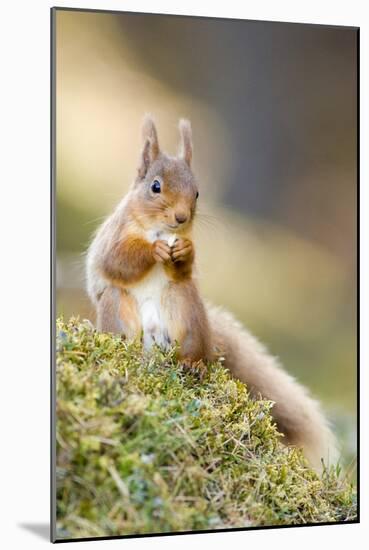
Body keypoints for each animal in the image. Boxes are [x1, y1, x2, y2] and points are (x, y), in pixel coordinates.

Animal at [85, 115, 336, 470]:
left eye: (197, 193)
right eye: (155, 186)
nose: (181, 218)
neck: (158, 230)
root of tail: (154, 348)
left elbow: (185, 265)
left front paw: (183, 252)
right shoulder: (114, 239)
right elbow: (118, 261)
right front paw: (152, 251)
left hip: (186, 308)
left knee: (193, 347)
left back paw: (194, 364)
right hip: (117, 307)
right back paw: (125, 351)